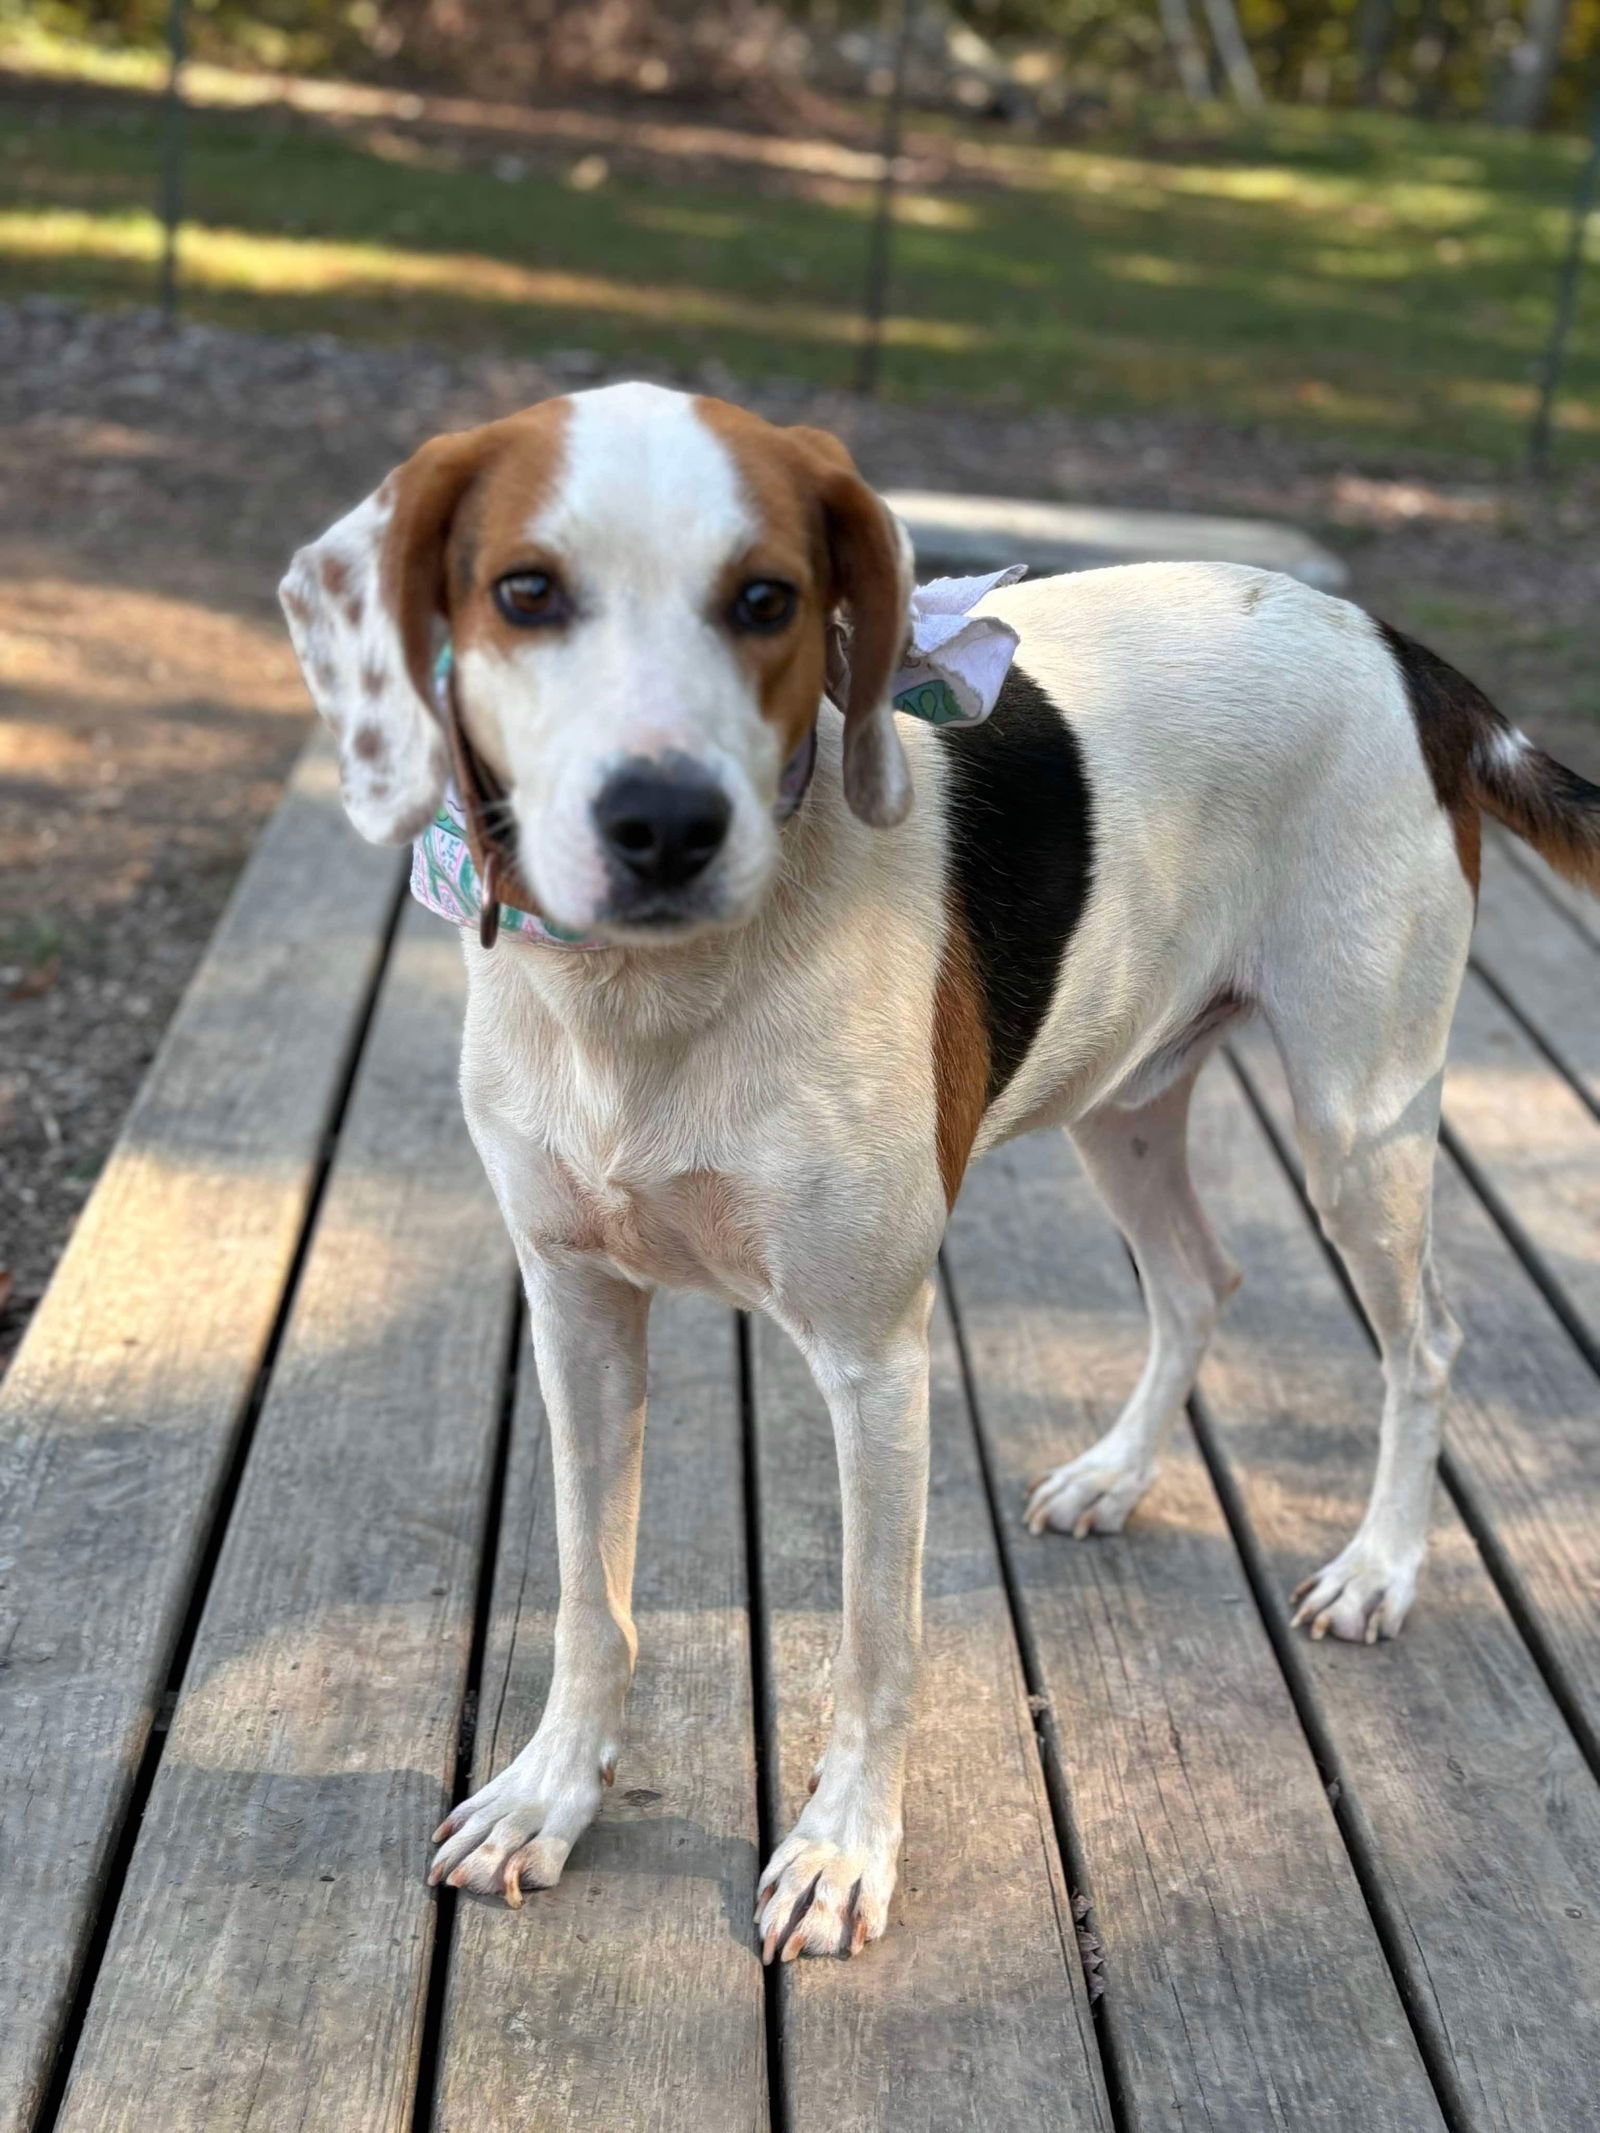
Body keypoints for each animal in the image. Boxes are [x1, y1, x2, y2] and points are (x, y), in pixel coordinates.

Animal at [285, 388, 1600, 1962]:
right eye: (524, 593)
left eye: (768, 599)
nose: (663, 823)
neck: (644, 1000)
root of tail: (1407, 658)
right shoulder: (578, 1307)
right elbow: (591, 1600)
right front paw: (551, 1794)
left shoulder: (873, 1358)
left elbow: (875, 1642)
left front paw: (842, 1854)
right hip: (1125, 1103)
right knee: (1201, 1281)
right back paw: (1116, 1475)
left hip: (1360, 1123)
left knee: (1425, 1342)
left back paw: (1382, 1567)